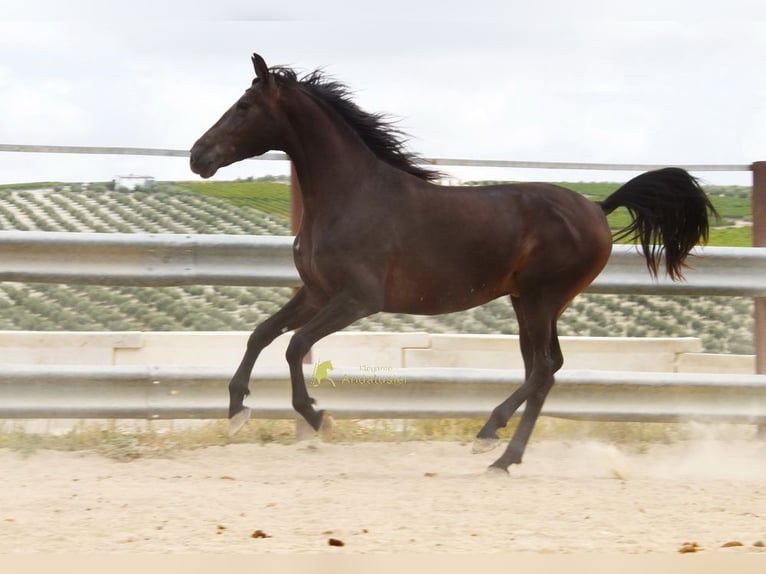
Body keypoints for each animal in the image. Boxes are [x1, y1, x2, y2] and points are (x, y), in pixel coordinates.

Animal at [190, 53, 717, 472]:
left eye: (244, 107)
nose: (198, 156)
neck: (350, 196)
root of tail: (597, 208)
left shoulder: (358, 299)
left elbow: (295, 345)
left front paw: (320, 417)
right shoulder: (316, 292)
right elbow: (261, 334)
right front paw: (236, 413)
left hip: (542, 299)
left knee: (544, 370)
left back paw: (500, 453)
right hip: (529, 302)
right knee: (544, 367)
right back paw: (492, 439)